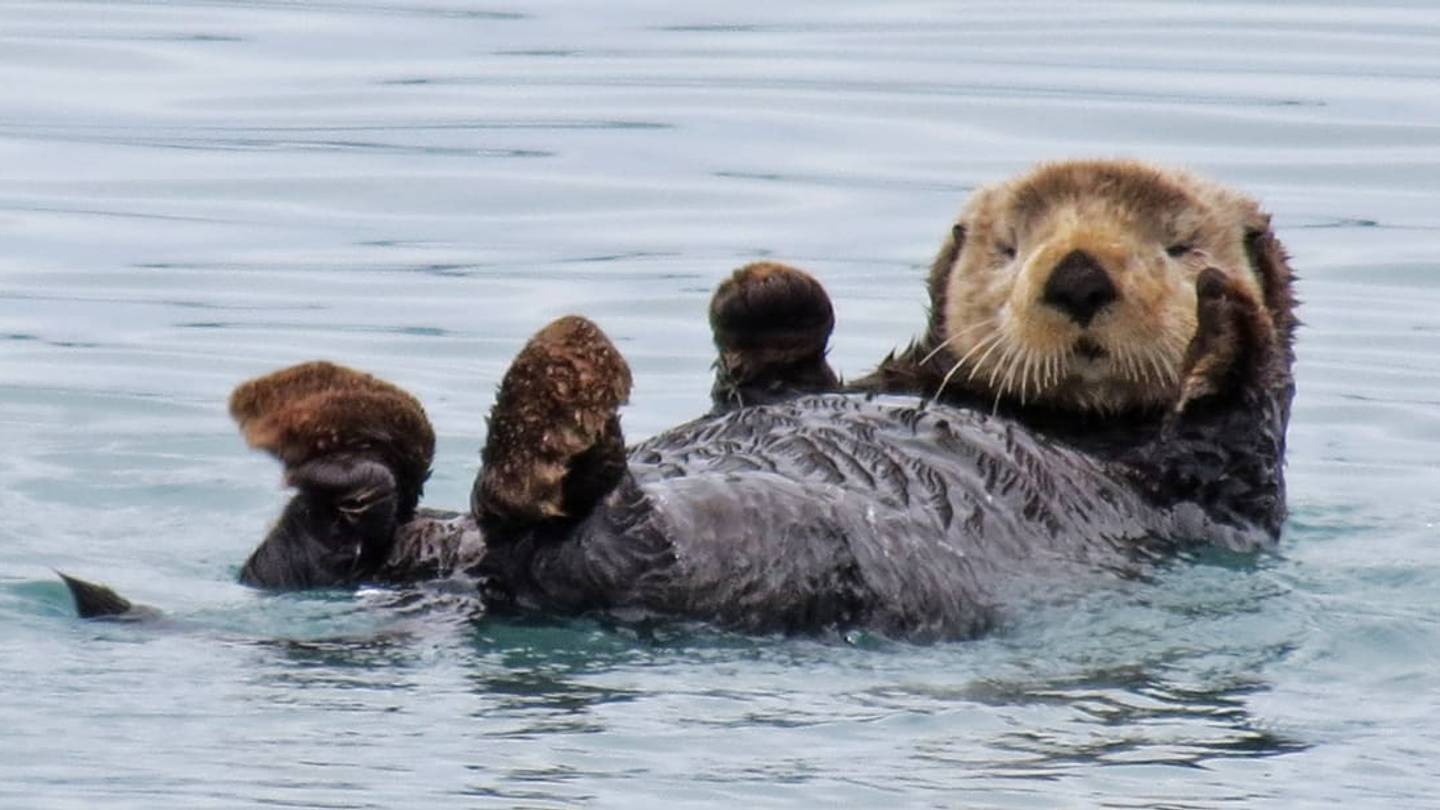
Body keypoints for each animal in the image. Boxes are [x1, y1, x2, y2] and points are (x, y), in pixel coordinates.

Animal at [63, 159, 1296, 641]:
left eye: (1178, 244)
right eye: (1009, 244)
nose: (1076, 274)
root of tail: (463, 593)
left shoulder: (1215, 481)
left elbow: (1235, 409)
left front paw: (1227, 319)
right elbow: (776, 366)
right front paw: (770, 289)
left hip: (744, 555)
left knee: (575, 530)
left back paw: (549, 406)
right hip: (424, 545)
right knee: (331, 542)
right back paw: (338, 429)